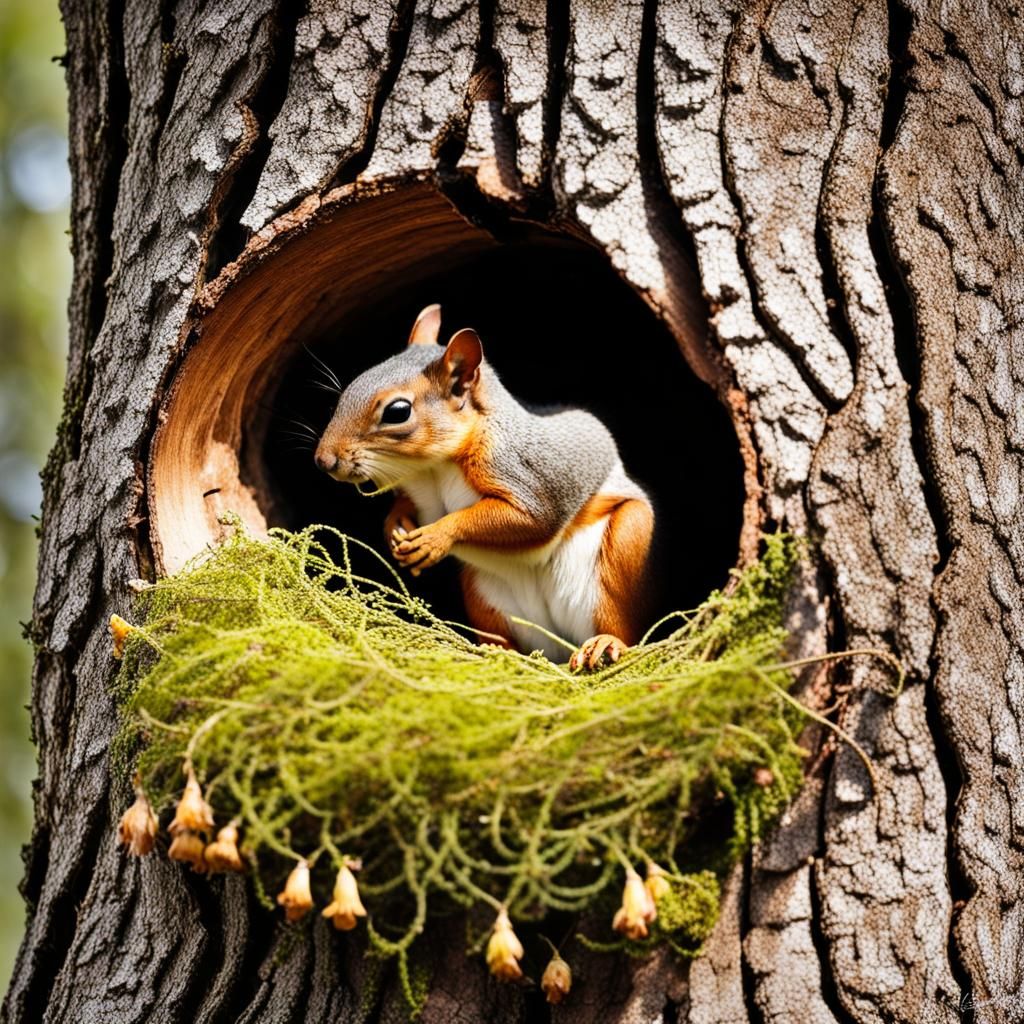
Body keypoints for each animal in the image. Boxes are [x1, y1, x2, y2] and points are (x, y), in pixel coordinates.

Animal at [313, 304, 656, 670]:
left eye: (398, 411)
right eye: (349, 389)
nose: (323, 460)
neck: (432, 468)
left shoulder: (526, 475)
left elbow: (530, 518)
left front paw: (436, 536)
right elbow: (407, 506)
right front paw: (395, 527)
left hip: (622, 552)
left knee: (622, 628)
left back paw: (605, 643)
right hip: (483, 594)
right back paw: (494, 651)